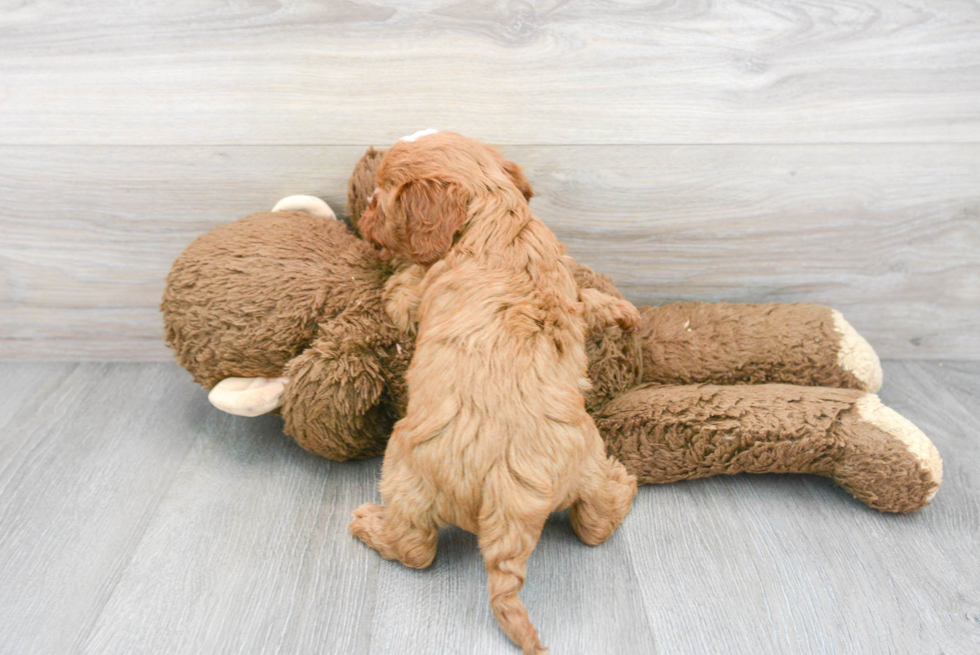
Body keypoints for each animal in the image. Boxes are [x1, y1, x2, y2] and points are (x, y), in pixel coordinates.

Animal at [348, 133, 640, 655]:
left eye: (380, 198)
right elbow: (586, 301)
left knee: (417, 548)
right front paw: (623, 312)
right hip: (586, 463)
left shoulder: (420, 291)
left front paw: (393, 275)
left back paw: (370, 526)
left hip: (404, 469)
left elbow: (402, 291)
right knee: (595, 525)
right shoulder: (565, 282)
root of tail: (511, 493)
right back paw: (622, 485)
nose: (362, 223)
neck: (498, 218)